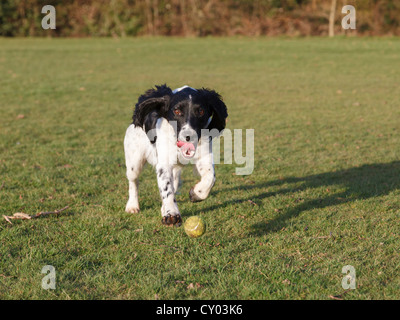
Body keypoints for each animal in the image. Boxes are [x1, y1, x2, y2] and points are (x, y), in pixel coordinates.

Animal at [123, 84, 227, 226]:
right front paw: (171, 214)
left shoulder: (204, 156)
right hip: (134, 162)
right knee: (133, 181)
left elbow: (210, 178)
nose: (189, 136)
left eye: (200, 111)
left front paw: (196, 194)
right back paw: (132, 206)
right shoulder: (164, 164)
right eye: (177, 111)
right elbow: (166, 188)